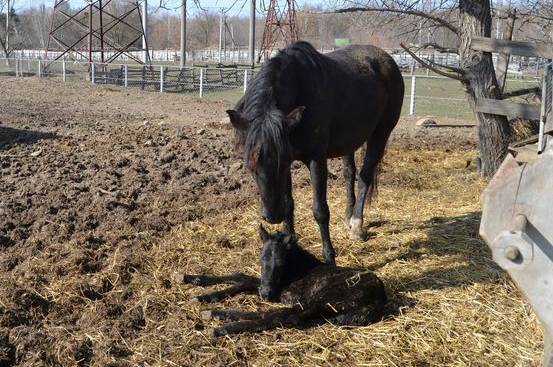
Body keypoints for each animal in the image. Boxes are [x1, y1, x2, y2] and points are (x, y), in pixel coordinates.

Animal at [177, 226, 388, 338]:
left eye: (281, 262)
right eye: (262, 258)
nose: (265, 294)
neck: (297, 269)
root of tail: (379, 299)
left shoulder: (284, 293)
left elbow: (244, 280)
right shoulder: (269, 287)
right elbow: (241, 277)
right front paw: (194, 283)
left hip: (322, 298)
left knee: (283, 317)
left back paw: (220, 326)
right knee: (274, 314)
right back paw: (215, 313)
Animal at [226, 41, 404, 264]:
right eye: (250, 167)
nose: (272, 216)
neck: (301, 89)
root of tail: (389, 61)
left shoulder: (316, 159)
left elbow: (320, 210)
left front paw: (329, 257)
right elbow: (289, 203)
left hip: (381, 133)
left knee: (365, 176)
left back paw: (356, 225)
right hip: (349, 140)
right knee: (349, 173)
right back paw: (348, 216)